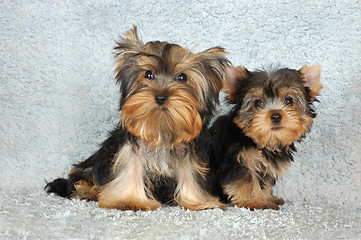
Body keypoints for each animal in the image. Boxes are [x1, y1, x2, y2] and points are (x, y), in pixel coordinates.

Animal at [44, 26, 228, 210]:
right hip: (93, 164)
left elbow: (189, 173)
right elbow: (131, 169)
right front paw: (129, 200)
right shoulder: (131, 149)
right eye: (148, 74)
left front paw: (197, 201)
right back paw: (85, 191)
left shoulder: (186, 151)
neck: (160, 127)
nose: (161, 97)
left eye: (182, 77)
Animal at [207, 64, 322, 209]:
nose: (276, 115)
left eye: (289, 100)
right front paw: (254, 202)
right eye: (258, 103)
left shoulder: (265, 165)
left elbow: (264, 182)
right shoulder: (238, 161)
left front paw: (267, 198)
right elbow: (245, 181)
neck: (261, 142)